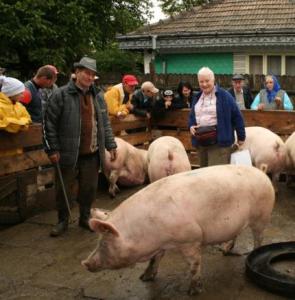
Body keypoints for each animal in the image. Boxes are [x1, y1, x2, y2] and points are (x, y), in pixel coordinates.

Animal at [82, 166, 276, 296]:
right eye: (99, 241)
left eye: (104, 242)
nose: (85, 263)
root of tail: (262, 173)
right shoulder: (160, 245)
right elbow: (155, 260)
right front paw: (144, 278)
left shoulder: (190, 238)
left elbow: (194, 264)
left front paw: (193, 292)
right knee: (236, 234)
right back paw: (225, 250)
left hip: (262, 216)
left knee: (259, 238)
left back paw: (252, 255)